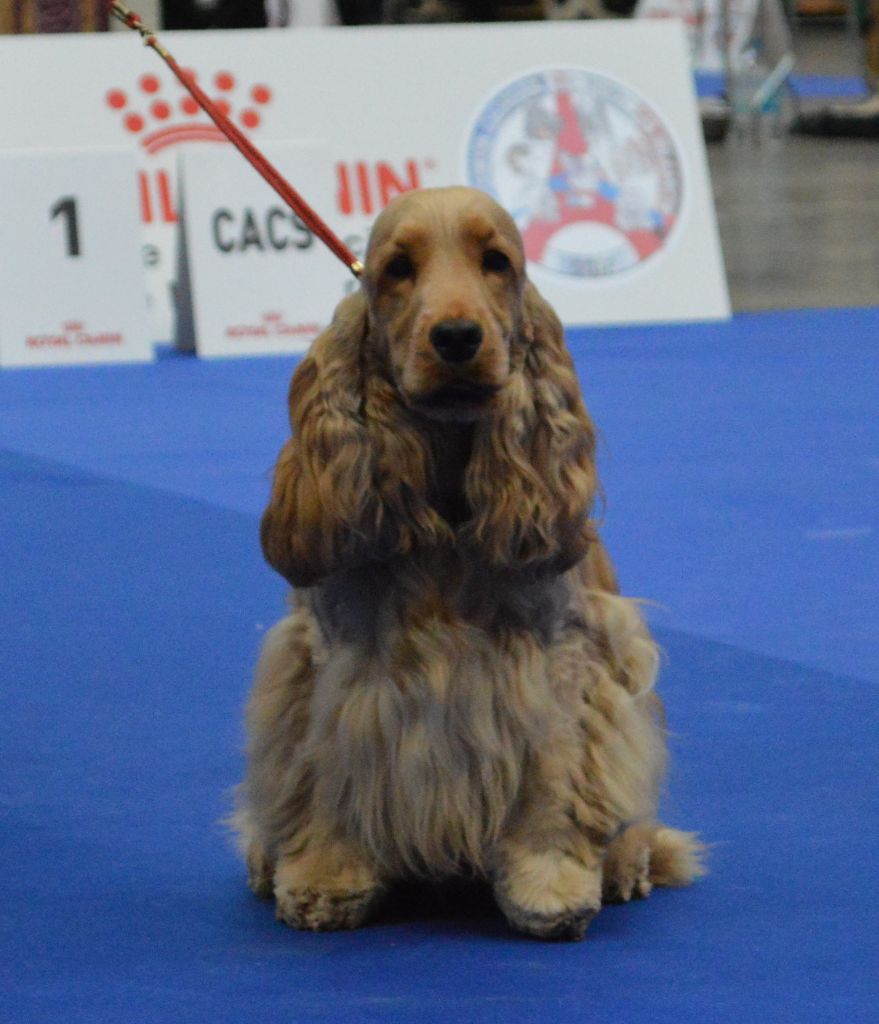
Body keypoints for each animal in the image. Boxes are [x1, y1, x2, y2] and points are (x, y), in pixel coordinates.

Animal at [233, 186, 704, 939]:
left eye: (497, 262)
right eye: (397, 269)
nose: (456, 336)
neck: (448, 493)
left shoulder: (556, 663)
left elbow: (553, 781)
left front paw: (549, 889)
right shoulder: (329, 666)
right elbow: (324, 771)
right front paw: (324, 880)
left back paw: (626, 861)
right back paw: (262, 855)